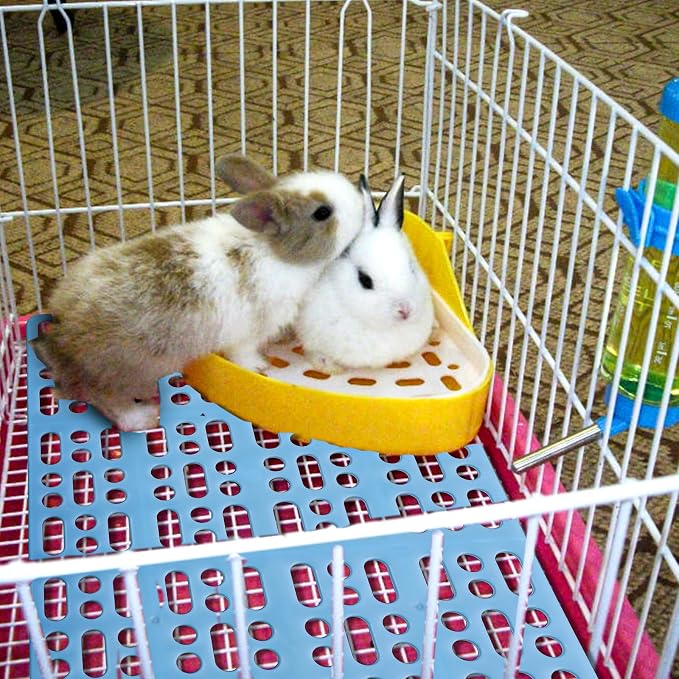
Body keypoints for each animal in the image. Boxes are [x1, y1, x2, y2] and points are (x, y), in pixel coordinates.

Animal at [31, 154, 364, 431]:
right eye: (322, 213)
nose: (361, 201)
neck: (272, 250)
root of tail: (63, 331)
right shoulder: (246, 333)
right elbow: (244, 354)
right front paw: (260, 367)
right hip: (120, 372)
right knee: (105, 400)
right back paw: (142, 418)